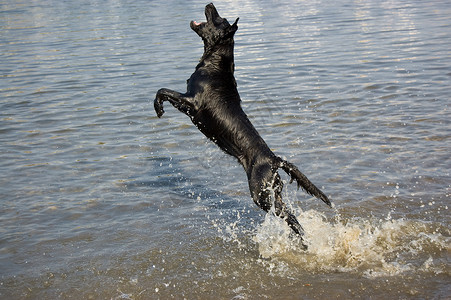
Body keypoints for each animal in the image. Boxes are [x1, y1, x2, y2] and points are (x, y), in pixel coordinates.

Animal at [155, 2, 332, 244]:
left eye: (218, 19)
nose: (210, 4)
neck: (216, 62)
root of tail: (274, 160)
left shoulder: (191, 103)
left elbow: (162, 90)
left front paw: (158, 108)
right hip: (273, 193)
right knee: (290, 216)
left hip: (260, 194)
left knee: (290, 218)